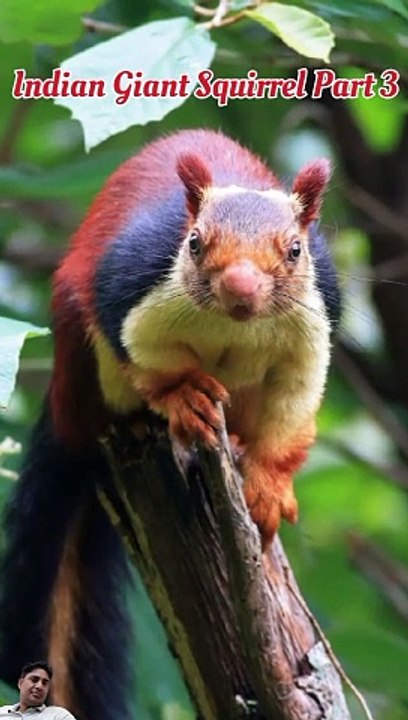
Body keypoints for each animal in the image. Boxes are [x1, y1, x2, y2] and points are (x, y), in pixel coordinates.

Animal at [0, 129, 340, 720]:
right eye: (195, 242)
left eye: (295, 249)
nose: (241, 288)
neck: (232, 326)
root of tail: (70, 420)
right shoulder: (132, 292)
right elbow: (147, 358)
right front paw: (185, 397)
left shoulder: (311, 333)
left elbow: (291, 411)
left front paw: (269, 486)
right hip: (83, 359)